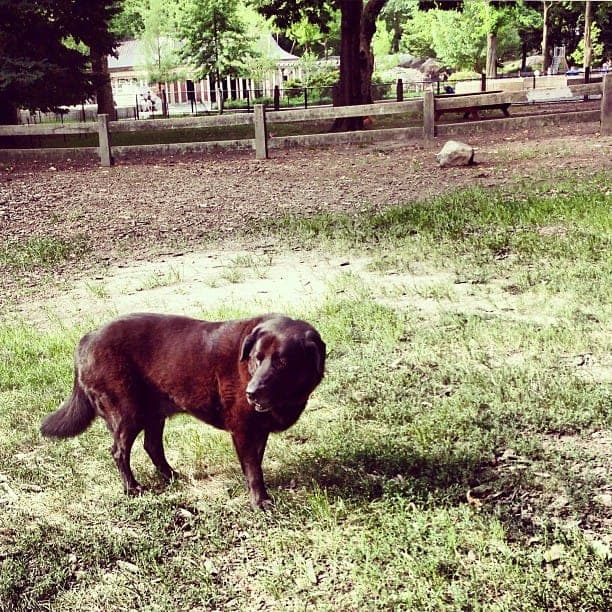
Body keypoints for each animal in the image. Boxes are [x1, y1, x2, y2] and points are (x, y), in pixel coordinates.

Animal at [39, 314, 326, 510]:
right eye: (257, 358)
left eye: (283, 362)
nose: (251, 392)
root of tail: (86, 339)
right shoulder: (242, 429)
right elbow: (254, 468)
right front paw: (260, 500)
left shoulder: (258, 430)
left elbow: (255, 461)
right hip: (127, 413)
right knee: (119, 452)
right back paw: (132, 488)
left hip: (153, 413)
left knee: (152, 446)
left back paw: (172, 476)